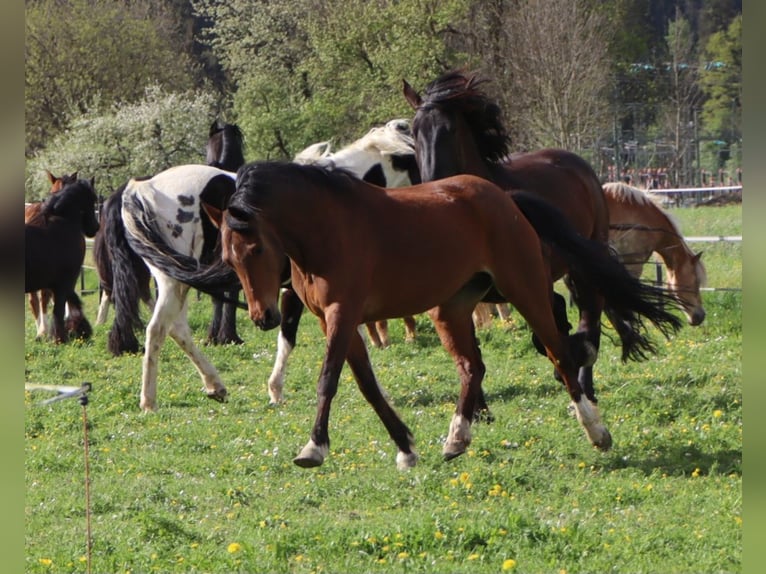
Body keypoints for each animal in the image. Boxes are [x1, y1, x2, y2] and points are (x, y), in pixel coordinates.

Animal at [24, 178, 100, 344]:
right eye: (92, 200)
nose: (95, 227)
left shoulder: (58, 283)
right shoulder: (66, 281)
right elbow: (60, 309)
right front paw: (62, 337)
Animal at [153, 161, 680, 468]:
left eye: (258, 247)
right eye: (228, 254)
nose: (263, 317)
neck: (328, 228)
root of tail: (503, 198)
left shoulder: (343, 315)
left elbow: (329, 379)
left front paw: (313, 448)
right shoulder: (333, 319)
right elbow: (366, 384)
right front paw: (406, 448)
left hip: (525, 290)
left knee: (561, 354)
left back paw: (597, 431)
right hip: (453, 308)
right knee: (473, 367)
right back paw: (457, 438)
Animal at [404, 72, 668, 412]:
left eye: (450, 129)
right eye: (413, 132)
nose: (435, 183)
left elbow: (550, 335)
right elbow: (470, 351)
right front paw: (479, 409)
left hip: (583, 263)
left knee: (590, 314)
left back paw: (585, 385)